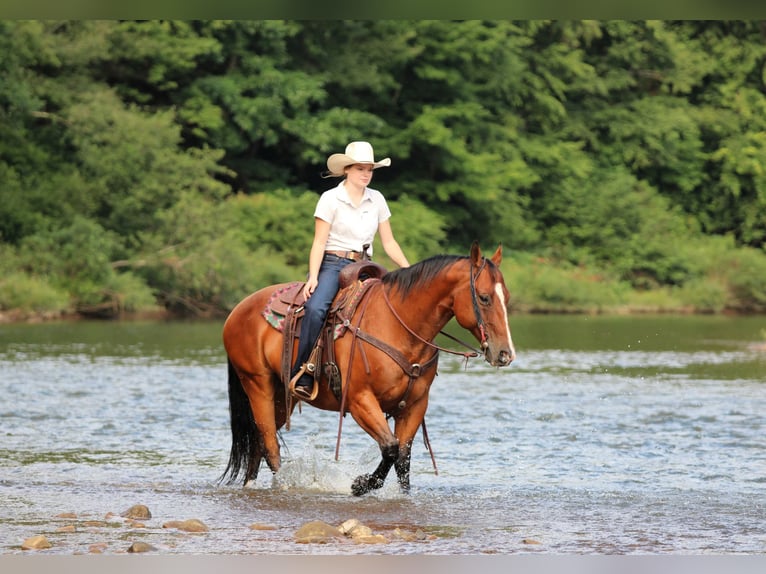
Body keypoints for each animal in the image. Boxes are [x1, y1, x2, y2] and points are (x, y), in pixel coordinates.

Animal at [219, 241, 516, 495]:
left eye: (507, 297)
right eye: (484, 297)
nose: (505, 353)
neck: (400, 327)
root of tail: (237, 310)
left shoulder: (415, 405)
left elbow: (403, 459)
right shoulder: (360, 400)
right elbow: (390, 448)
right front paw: (361, 484)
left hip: (282, 397)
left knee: (257, 442)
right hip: (257, 384)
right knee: (270, 443)